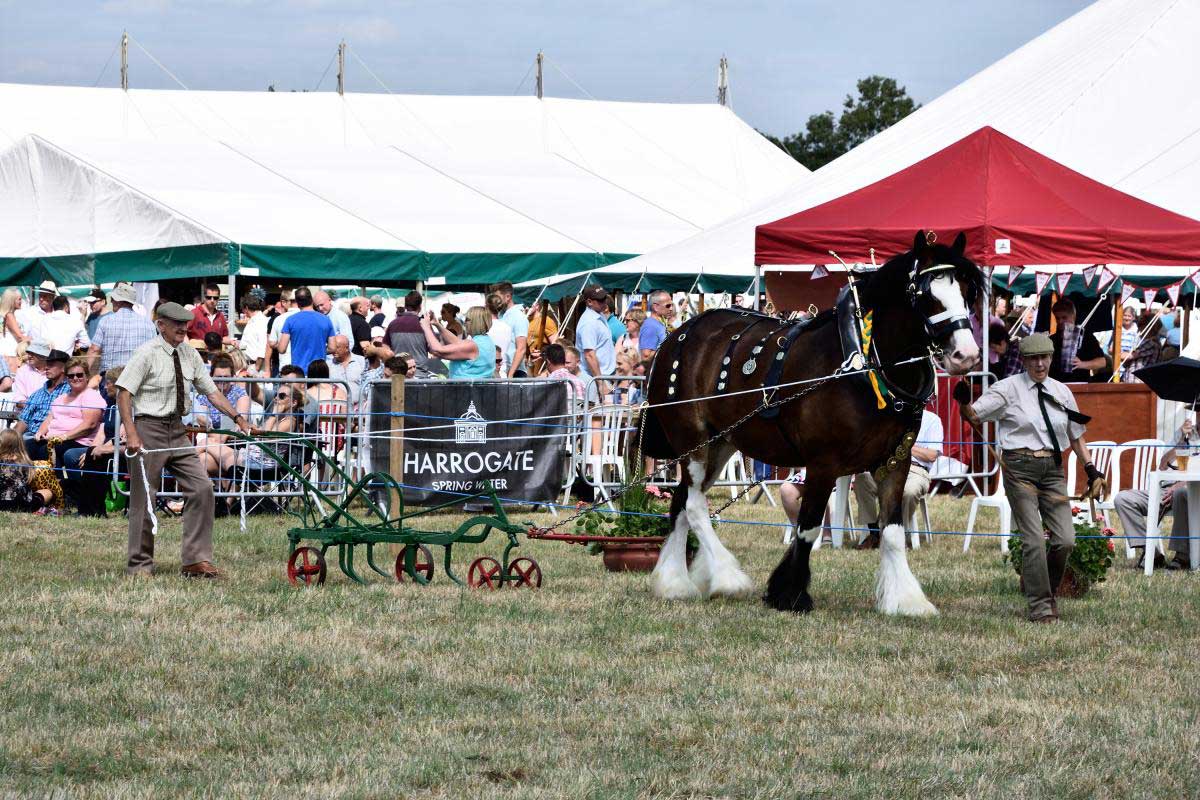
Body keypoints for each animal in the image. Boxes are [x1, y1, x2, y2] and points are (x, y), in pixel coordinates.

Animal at [643, 227, 979, 618]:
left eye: (968, 291)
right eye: (925, 295)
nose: (966, 354)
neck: (864, 365)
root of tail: (677, 334)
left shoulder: (895, 460)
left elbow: (893, 531)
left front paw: (906, 599)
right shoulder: (823, 463)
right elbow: (807, 529)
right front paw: (790, 594)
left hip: (720, 444)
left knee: (682, 501)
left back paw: (674, 583)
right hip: (692, 439)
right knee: (695, 505)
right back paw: (726, 578)